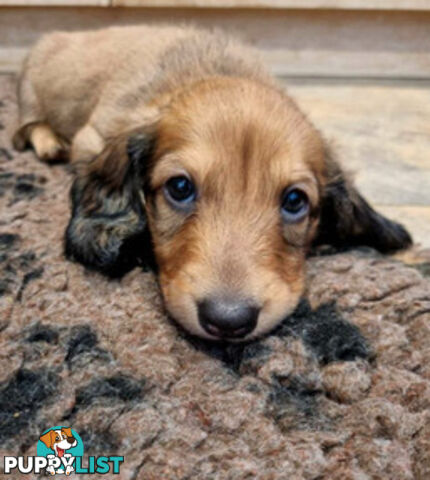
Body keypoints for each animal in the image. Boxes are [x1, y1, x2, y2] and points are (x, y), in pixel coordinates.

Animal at [12, 26, 410, 340]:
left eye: (295, 200)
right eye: (180, 188)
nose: (228, 321)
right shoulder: (91, 137)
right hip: (31, 91)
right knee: (27, 126)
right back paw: (48, 142)